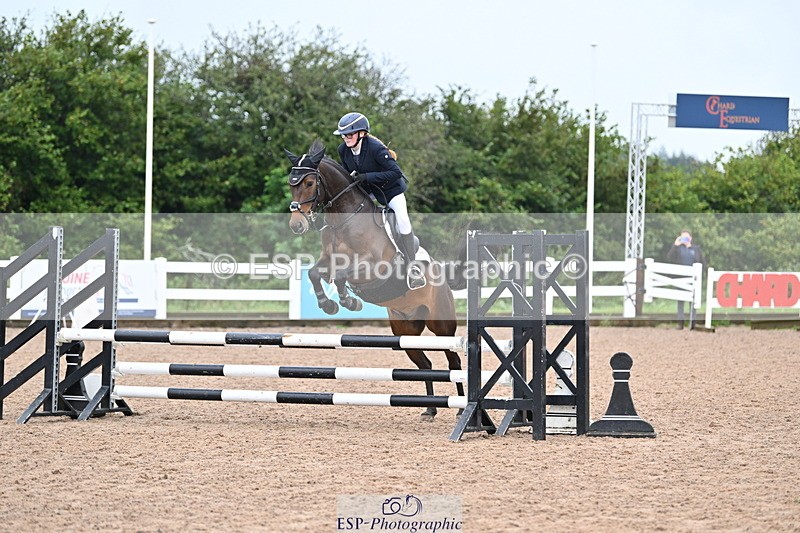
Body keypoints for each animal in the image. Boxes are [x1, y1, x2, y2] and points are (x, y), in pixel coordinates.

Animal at [284, 140, 463, 420]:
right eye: (291, 183)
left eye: (310, 183)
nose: (297, 224)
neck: (343, 221)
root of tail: (444, 279)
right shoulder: (328, 260)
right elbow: (315, 273)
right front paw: (329, 304)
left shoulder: (373, 268)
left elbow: (340, 276)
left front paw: (349, 301)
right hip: (405, 332)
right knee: (425, 364)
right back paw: (430, 409)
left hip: (441, 325)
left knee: (453, 360)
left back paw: (460, 410)